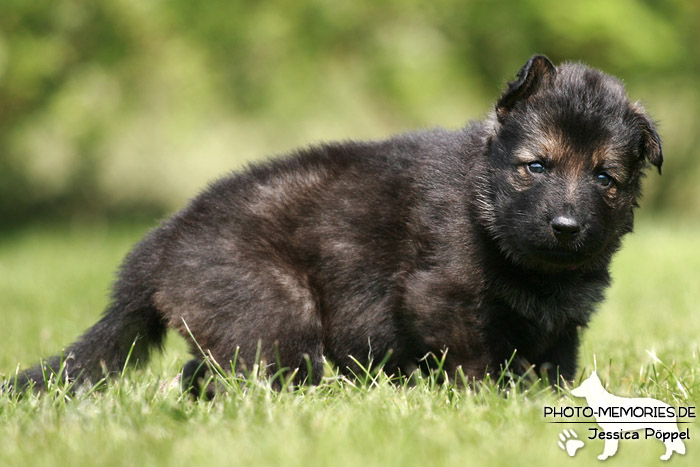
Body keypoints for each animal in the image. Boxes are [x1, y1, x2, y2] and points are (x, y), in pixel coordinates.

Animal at [9, 54, 660, 392]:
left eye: (605, 178)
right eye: (537, 166)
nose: (567, 226)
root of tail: (158, 246)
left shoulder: (562, 321)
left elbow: (555, 363)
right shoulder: (440, 296)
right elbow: (475, 359)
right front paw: (487, 402)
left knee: (201, 372)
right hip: (273, 308)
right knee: (242, 372)